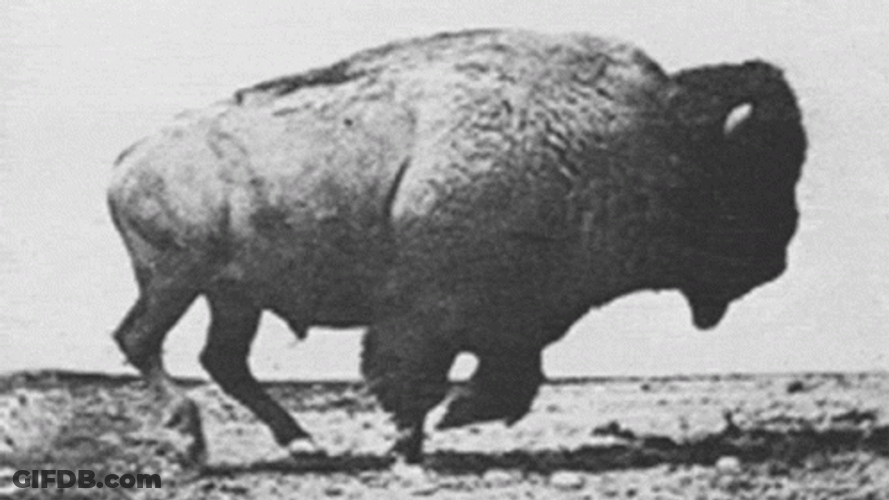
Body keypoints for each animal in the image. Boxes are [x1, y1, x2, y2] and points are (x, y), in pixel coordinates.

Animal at [107, 29, 806, 465]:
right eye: (750, 176)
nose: (777, 260)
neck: (644, 140)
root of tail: (128, 158)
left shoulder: (519, 317)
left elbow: (511, 379)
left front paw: (441, 424)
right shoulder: (431, 314)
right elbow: (416, 377)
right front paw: (419, 436)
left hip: (233, 297)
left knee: (222, 358)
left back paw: (301, 441)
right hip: (175, 281)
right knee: (140, 340)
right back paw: (194, 443)